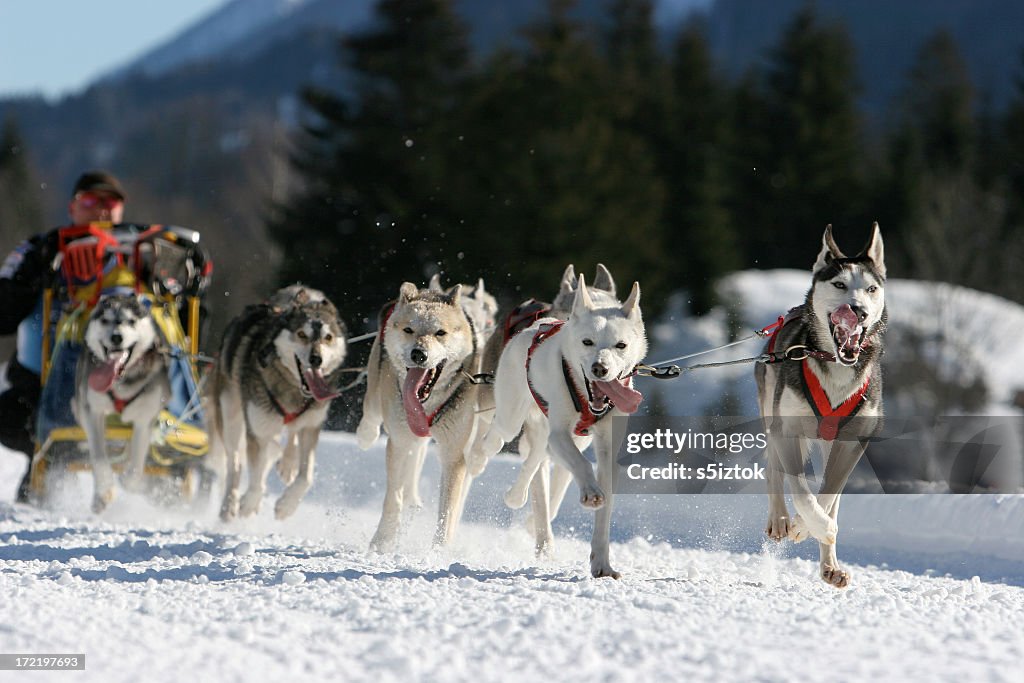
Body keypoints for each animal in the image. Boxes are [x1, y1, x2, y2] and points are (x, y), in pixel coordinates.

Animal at [73, 294, 171, 511]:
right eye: (105, 320)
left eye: (131, 321)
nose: (116, 337)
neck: (121, 382)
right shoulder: (92, 411)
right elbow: (99, 456)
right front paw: (103, 493)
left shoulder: (145, 418)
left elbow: (137, 462)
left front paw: (128, 480)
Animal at [211, 286, 348, 520]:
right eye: (301, 334)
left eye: (328, 337)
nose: (316, 359)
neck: (293, 389)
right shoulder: (258, 431)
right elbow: (255, 474)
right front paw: (249, 502)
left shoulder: (311, 425)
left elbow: (306, 476)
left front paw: (287, 504)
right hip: (231, 416)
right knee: (235, 463)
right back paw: (229, 505)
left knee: (289, 435)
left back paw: (288, 462)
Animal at [358, 280, 481, 552]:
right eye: (408, 329)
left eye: (440, 333)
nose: (418, 354)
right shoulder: (400, 441)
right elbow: (393, 497)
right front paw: (382, 541)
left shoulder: (453, 455)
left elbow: (447, 510)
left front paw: (439, 550)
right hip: (377, 396)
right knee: (371, 418)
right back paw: (366, 436)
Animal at [473, 274, 647, 577]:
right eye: (587, 341)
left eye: (621, 345)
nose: (600, 368)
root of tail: (534, 326)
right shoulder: (559, 433)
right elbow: (581, 464)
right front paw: (590, 492)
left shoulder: (605, 447)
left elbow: (604, 506)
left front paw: (602, 563)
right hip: (513, 415)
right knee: (496, 436)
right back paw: (478, 459)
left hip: (543, 429)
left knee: (532, 460)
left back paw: (516, 494)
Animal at [753, 224, 888, 589]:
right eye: (840, 285)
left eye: (871, 288)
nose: (859, 311)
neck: (835, 367)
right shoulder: (787, 429)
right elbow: (801, 490)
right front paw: (802, 523)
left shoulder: (852, 442)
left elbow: (828, 496)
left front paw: (810, 527)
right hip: (773, 416)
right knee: (774, 468)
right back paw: (780, 519)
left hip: (830, 444)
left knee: (832, 497)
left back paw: (830, 565)